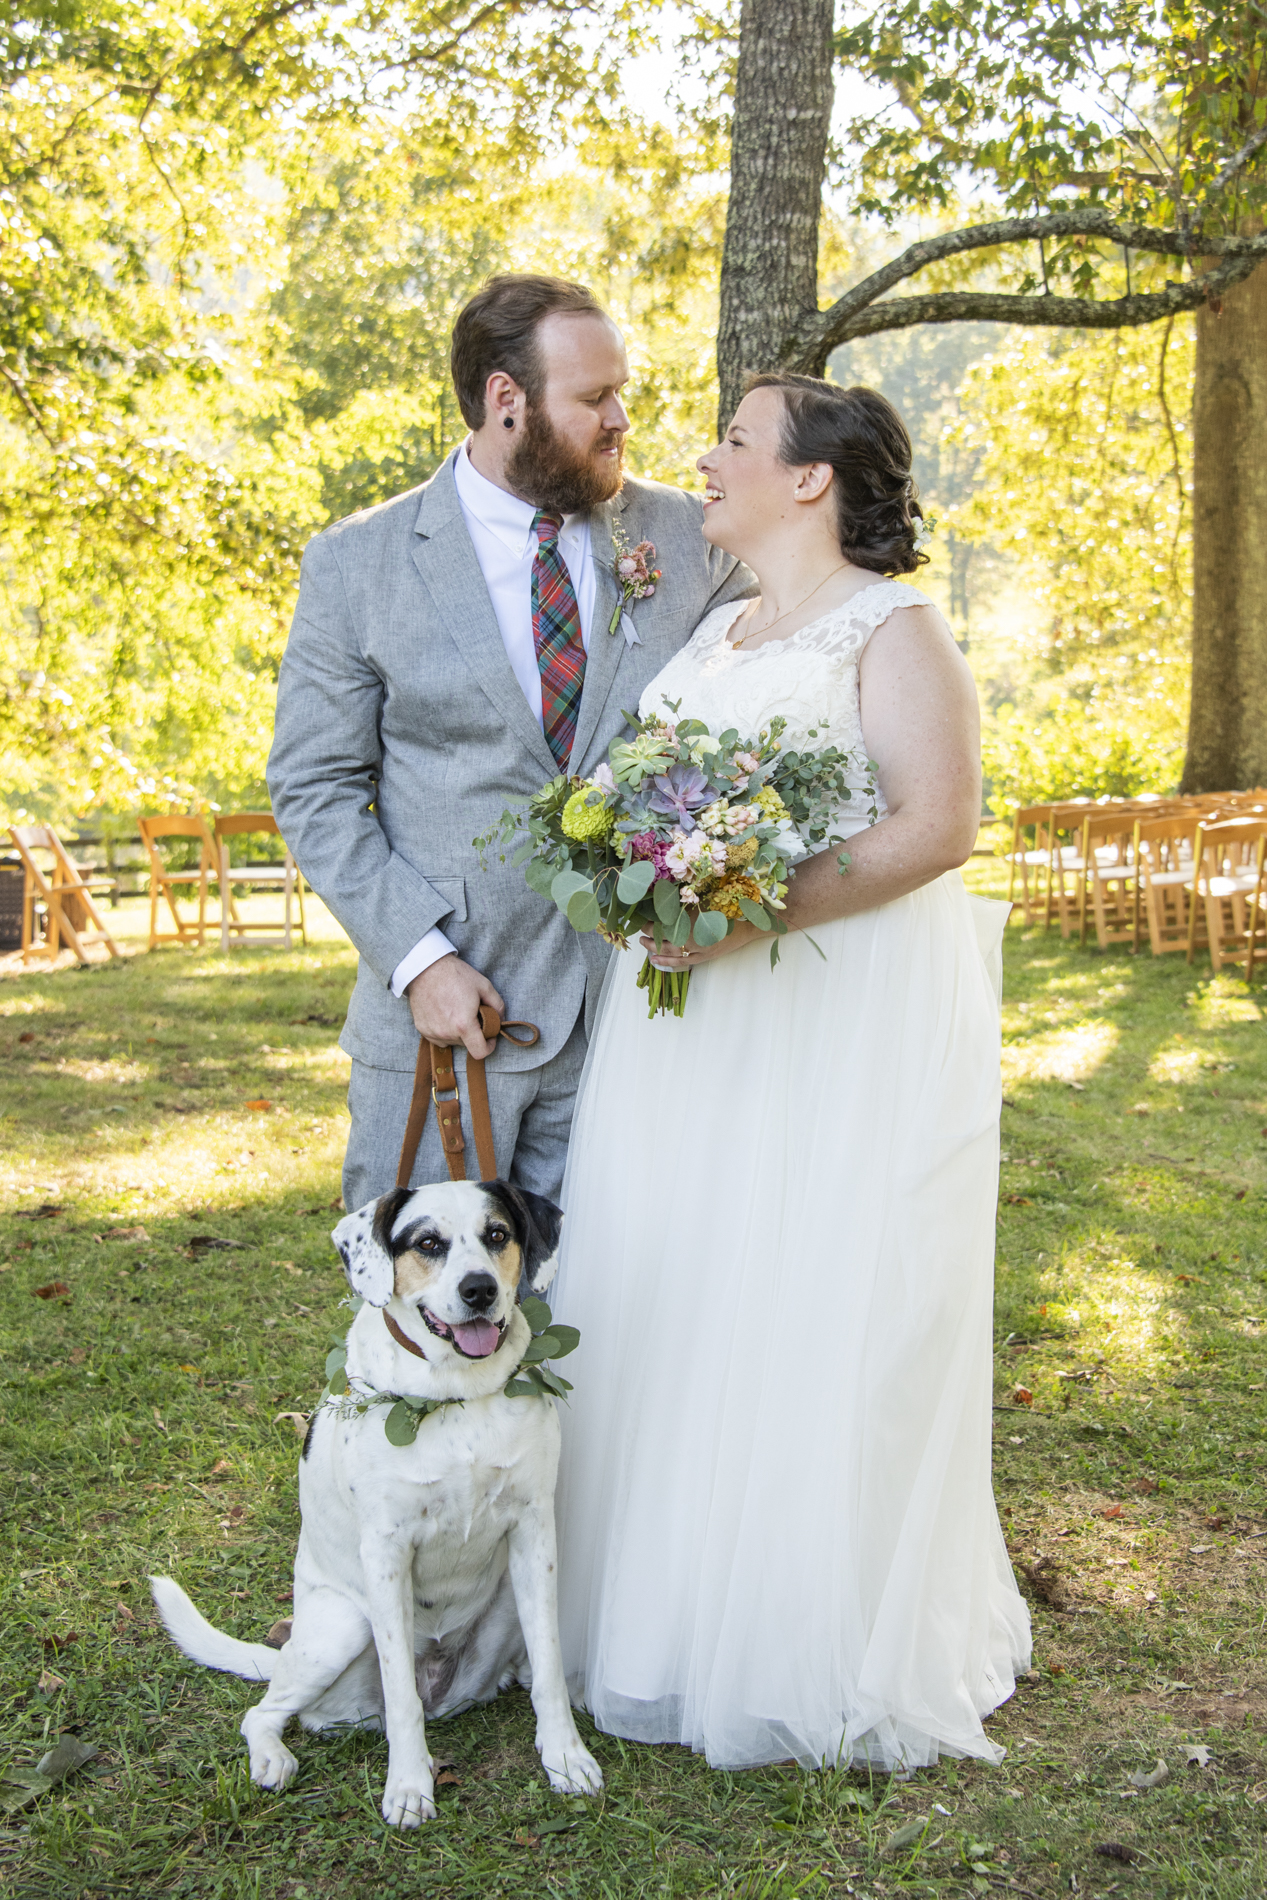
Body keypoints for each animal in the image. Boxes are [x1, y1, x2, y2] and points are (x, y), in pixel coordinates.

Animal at [149, 1185, 604, 1824]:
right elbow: (400, 1694)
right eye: (428, 1243)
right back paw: (272, 1758)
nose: (480, 1290)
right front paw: (409, 1785)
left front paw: (565, 1755)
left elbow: (550, 1668)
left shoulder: (534, 1530)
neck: (459, 1394)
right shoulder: (387, 1551)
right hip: (342, 1626)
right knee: (263, 1712)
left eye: (496, 1235)